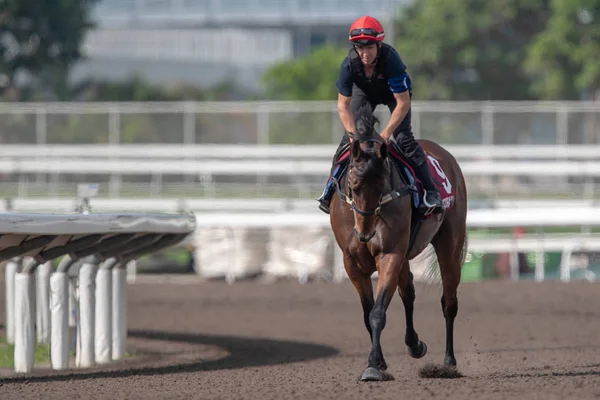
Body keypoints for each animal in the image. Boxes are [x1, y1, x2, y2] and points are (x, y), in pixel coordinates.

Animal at [328, 102, 468, 382]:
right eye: (353, 185)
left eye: (383, 183)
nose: (365, 233)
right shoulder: (352, 262)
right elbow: (367, 312)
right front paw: (380, 362)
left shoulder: (390, 254)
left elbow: (377, 312)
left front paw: (373, 365)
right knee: (409, 291)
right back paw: (415, 344)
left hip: (449, 245)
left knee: (449, 302)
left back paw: (448, 363)